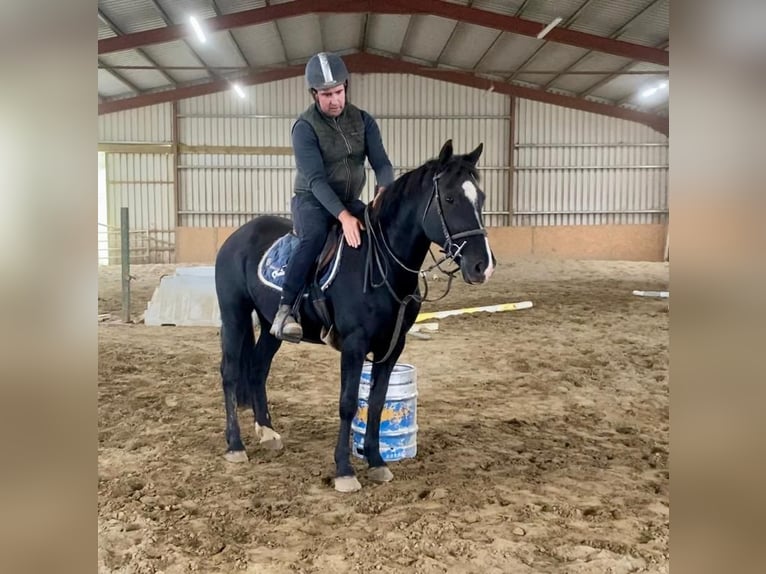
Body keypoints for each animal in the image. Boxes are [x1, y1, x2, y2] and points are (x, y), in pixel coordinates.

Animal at [214, 141, 498, 496]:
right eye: (449, 198)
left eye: (481, 198)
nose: (482, 266)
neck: (381, 263)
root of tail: (238, 236)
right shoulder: (354, 345)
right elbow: (348, 403)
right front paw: (344, 470)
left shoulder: (392, 347)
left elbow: (376, 403)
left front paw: (376, 462)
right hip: (234, 315)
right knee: (230, 373)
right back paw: (235, 446)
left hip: (270, 327)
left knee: (257, 368)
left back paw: (267, 432)